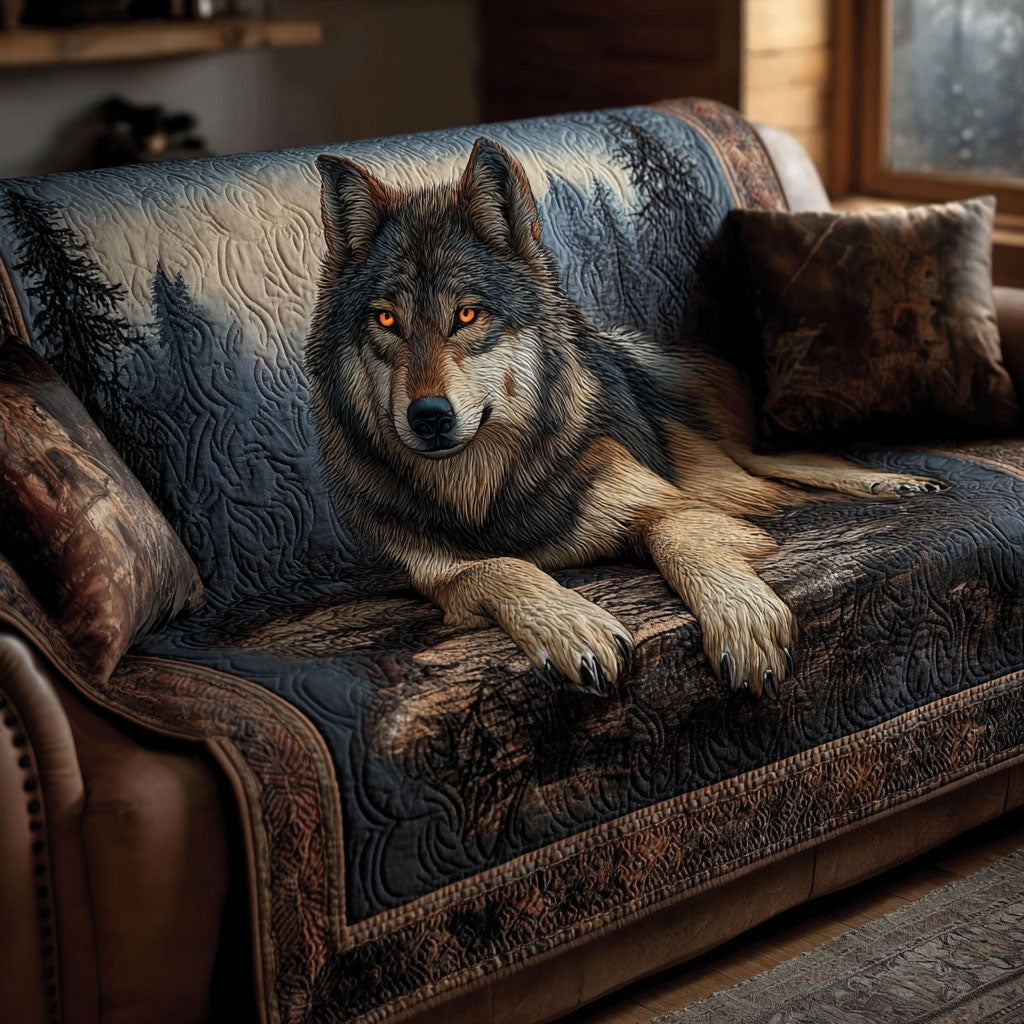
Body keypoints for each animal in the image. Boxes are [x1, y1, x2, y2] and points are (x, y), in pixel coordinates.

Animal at [305, 137, 943, 698]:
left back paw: (894, 482)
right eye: (387, 321)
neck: (481, 488)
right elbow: (499, 569)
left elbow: (675, 536)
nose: (429, 417)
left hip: (737, 452)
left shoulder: (673, 504)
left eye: (466, 315)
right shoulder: (433, 573)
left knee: (790, 463)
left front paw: (740, 616)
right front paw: (570, 624)